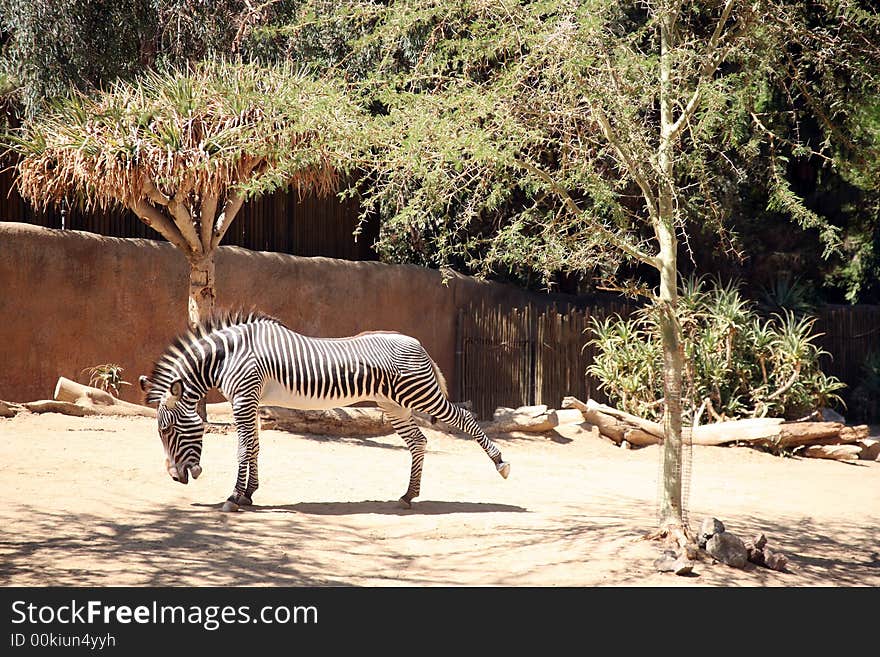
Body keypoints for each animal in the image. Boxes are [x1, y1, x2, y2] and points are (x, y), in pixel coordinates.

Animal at [137, 312, 508, 512]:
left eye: (167, 431)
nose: (174, 477)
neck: (226, 356)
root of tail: (416, 343)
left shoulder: (243, 398)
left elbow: (243, 448)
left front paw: (233, 497)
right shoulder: (251, 400)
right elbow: (255, 446)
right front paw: (249, 494)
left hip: (420, 394)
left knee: (465, 418)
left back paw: (500, 463)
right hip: (393, 405)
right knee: (418, 442)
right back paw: (408, 495)